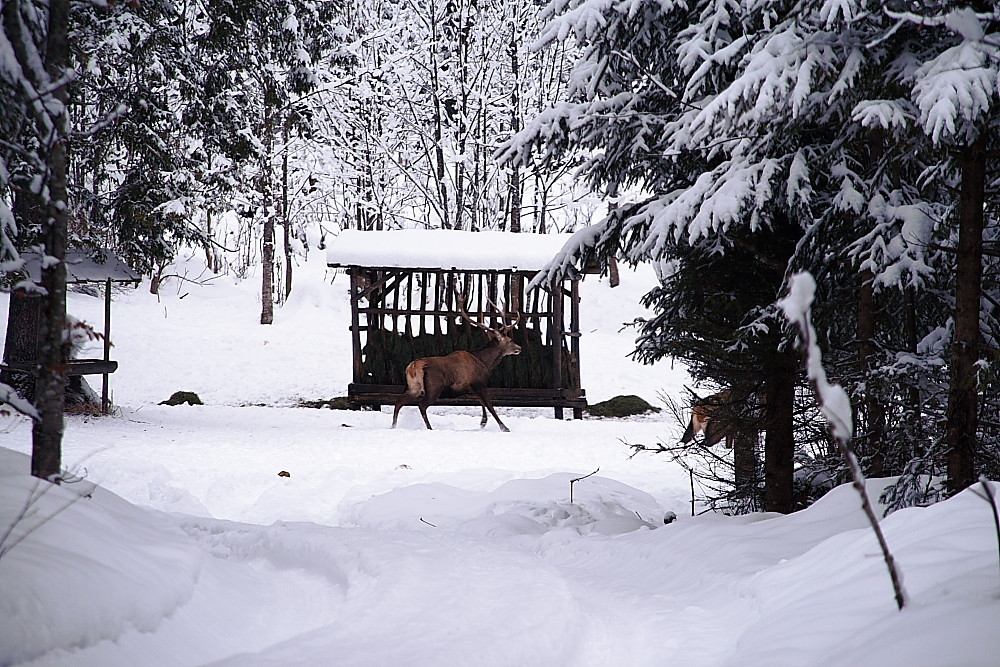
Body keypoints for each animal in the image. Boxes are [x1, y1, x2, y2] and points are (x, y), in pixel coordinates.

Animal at [390, 288, 524, 434]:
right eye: (510, 340)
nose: (519, 348)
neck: (485, 362)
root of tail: (413, 367)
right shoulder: (480, 383)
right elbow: (490, 406)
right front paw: (504, 427)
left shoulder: (472, 387)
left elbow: (482, 404)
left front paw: (483, 423)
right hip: (434, 387)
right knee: (422, 405)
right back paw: (430, 428)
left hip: (414, 387)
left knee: (398, 401)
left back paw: (393, 426)